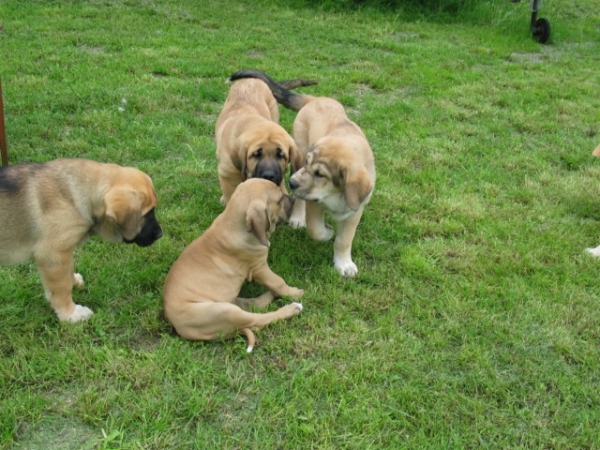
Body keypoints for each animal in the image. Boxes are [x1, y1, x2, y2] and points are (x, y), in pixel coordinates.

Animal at [0, 158, 163, 320]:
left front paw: (74, 282)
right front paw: (70, 314)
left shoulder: (64, 252)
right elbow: (61, 288)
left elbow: (68, 270)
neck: (73, 196)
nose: (160, 234)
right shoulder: (53, 255)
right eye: (148, 213)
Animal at [164, 178, 304, 352]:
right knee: (258, 320)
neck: (234, 224)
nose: (293, 200)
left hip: (229, 304)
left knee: (252, 305)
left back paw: (271, 295)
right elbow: (278, 281)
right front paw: (294, 293)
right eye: (279, 200)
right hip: (221, 311)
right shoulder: (259, 268)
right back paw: (292, 307)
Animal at [216, 71, 316, 205]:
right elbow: (232, 195)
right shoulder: (227, 173)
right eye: (256, 155)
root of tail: (252, 79)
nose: (269, 176)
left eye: (281, 155)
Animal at [226, 69, 376, 278]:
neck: (335, 194)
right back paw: (297, 218)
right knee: (300, 201)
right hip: (299, 149)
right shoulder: (313, 202)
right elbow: (316, 229)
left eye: (320, 174)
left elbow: (344, 240)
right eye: (308, 163)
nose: (292, 183)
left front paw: (344, 265)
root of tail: (314, 99)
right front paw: (327, 232)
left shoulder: (354, 209)